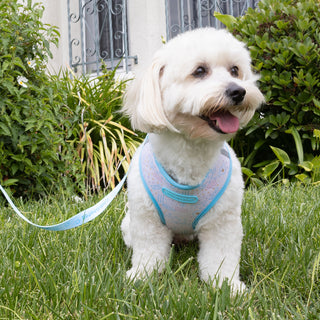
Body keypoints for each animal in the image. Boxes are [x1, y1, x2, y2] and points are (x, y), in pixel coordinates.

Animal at [121, 27, 264, 292]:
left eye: (235, 70)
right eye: (199, 71)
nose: (238, 91)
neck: (191, 151)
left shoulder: (222, 221)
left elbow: (221, 256)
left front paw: (227, 285)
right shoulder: (147, 219)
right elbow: (149, 252)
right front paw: (142, 275)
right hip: (129, 224)